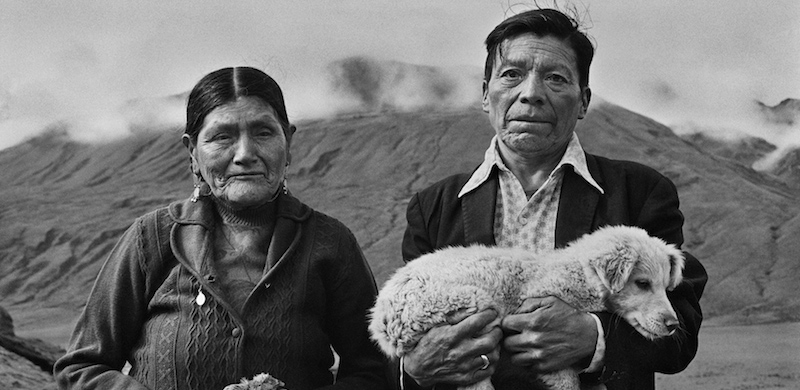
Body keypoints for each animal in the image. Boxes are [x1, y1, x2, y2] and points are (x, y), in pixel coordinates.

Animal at [372, 225, 684, 390]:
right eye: (642, 283)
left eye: (665, 286)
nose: (673, 325)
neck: (578, 273)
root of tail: (380, 321)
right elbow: (566, 382)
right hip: (465, 309)